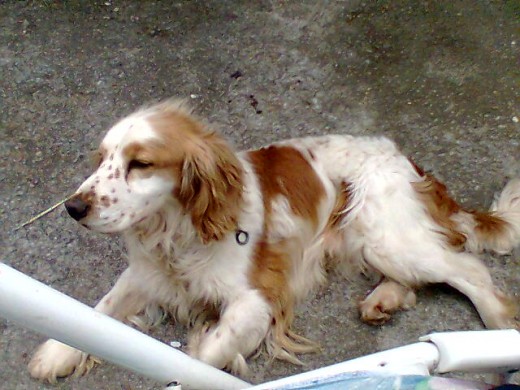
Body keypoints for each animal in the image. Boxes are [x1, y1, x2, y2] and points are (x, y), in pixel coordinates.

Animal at [29, 99, 520, 382]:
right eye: (102, 159)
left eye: (140, 164)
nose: (73, 207)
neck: (182, 233)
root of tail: (410, 162)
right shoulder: (147, 275)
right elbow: (98, 310)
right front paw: (56, 352)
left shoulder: (256, 302)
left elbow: (206, 353)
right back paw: (382, 301)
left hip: (387, 237)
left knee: (468, 269)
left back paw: (499, 321)